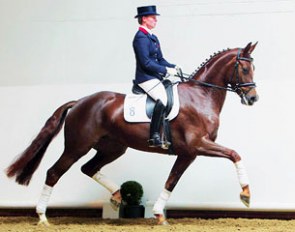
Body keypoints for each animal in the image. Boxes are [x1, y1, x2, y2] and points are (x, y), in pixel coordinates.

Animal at [5, 41, 260, 225]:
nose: (253, 98)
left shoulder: (188, 153)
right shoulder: (197, 145)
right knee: (54, 173)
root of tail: (80, 102)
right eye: (244, 68)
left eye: (253, 68)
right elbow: (235, 154)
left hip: (113, 148)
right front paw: (246, 194)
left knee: (88, 168)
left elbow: (171, 180)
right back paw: (42, 217)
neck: (201, 96)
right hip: (77, 146)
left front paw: (158, 214)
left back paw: (118, 195)